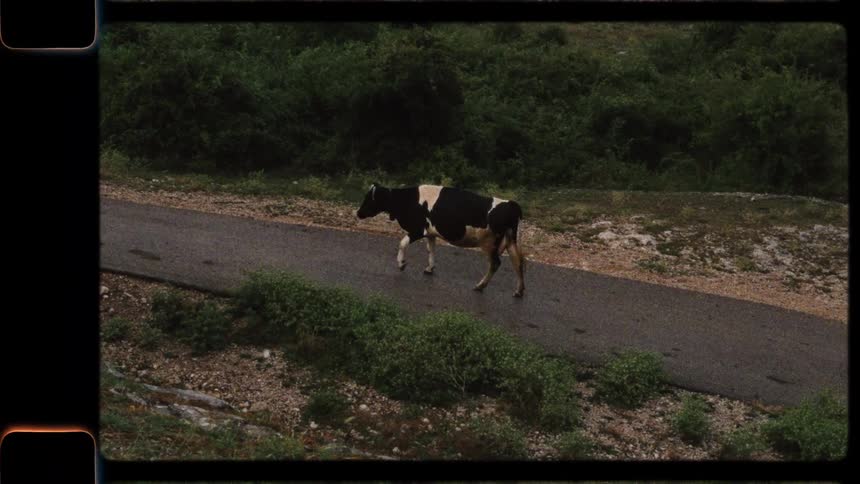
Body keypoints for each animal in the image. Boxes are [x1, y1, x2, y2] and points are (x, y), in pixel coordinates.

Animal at [356, 184, 525, 297]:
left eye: (369, 199)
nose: (358, 213)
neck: (407, 201)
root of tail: (511, 204)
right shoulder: (431, 233)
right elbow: (430, 249)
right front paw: (430, 268)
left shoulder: (418, 229)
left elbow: (402, 243)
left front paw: (401, 264)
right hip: (510, 240)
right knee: (518, 261)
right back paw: (519, 291)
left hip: (489, 243)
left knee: (495, 263)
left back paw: (480, 286)